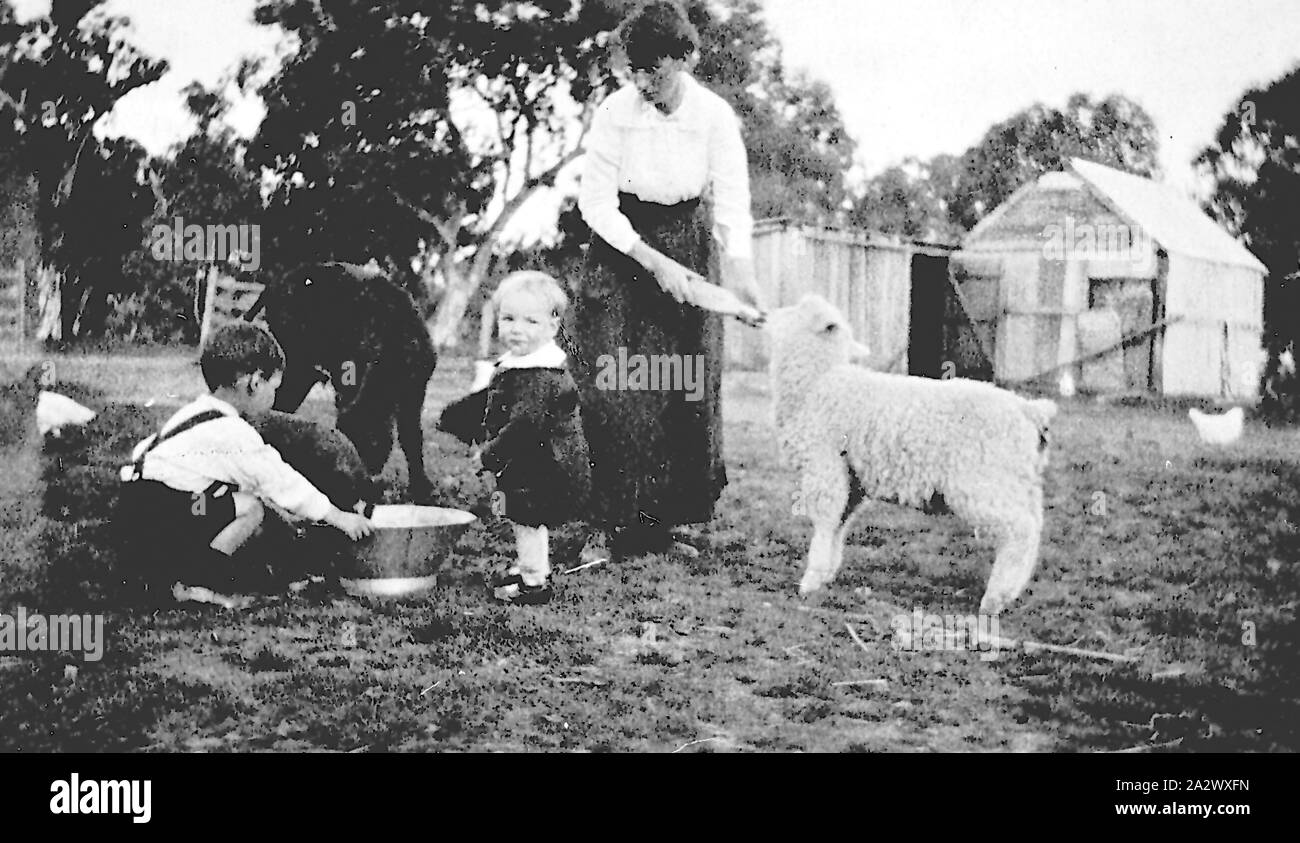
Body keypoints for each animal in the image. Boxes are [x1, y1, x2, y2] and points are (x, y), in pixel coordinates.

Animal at [769, 296, 1055, 611]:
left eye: (797, 309)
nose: (766, 315)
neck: (820, 380)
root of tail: (1028, 410)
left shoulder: (825, 464)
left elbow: (825, 523)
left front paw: (811, 580)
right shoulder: (851, 478)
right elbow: (838, 525)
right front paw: (827, 574)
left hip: (985, 481)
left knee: (1020, 530)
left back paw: (995, 597)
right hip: (1018, 483)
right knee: (1034, 526)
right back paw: (1011, 590)